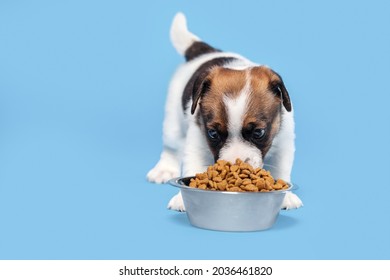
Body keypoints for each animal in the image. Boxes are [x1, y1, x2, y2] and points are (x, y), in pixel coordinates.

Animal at [148, 12, 304, 210]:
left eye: (258, 132)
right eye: (213, 133)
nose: (233, 166)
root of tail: (206, 51)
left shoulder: (284, 141)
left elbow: (283, 167)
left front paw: (285, 196)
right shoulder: (196, 140)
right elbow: (193, 163)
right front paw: (182, 198)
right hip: (172, 120)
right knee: (171, 146)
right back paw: (164, 169)